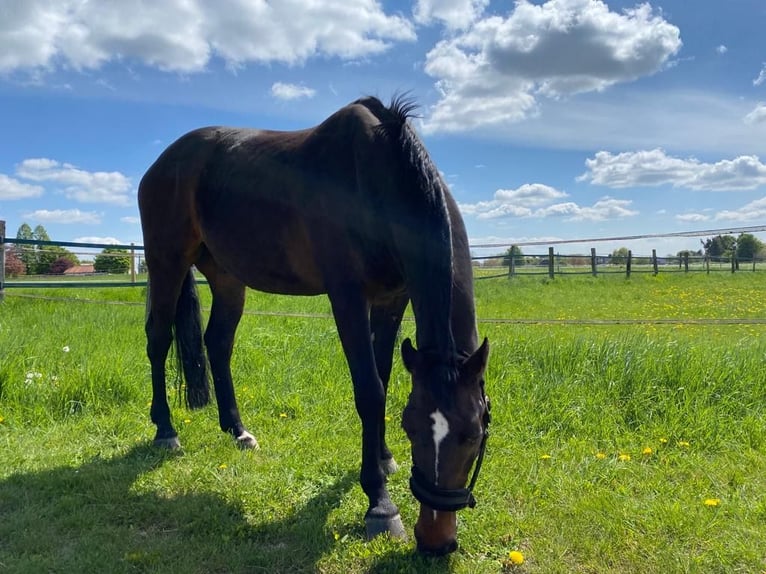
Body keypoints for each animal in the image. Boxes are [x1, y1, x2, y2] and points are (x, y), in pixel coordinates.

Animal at [138, 95, 492, 560]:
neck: (377, 179)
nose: (435, 541)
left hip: (227, 277)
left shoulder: (392, 299)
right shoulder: (347, 296)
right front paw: (380, 505)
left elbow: (383, 376)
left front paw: (383, 457)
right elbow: (369, 391)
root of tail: (160, 164)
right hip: (167, 262)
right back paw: (165, 430)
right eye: (412, 428)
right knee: (158, 340)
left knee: (218, 343)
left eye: (473, 434)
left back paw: (237, 430)